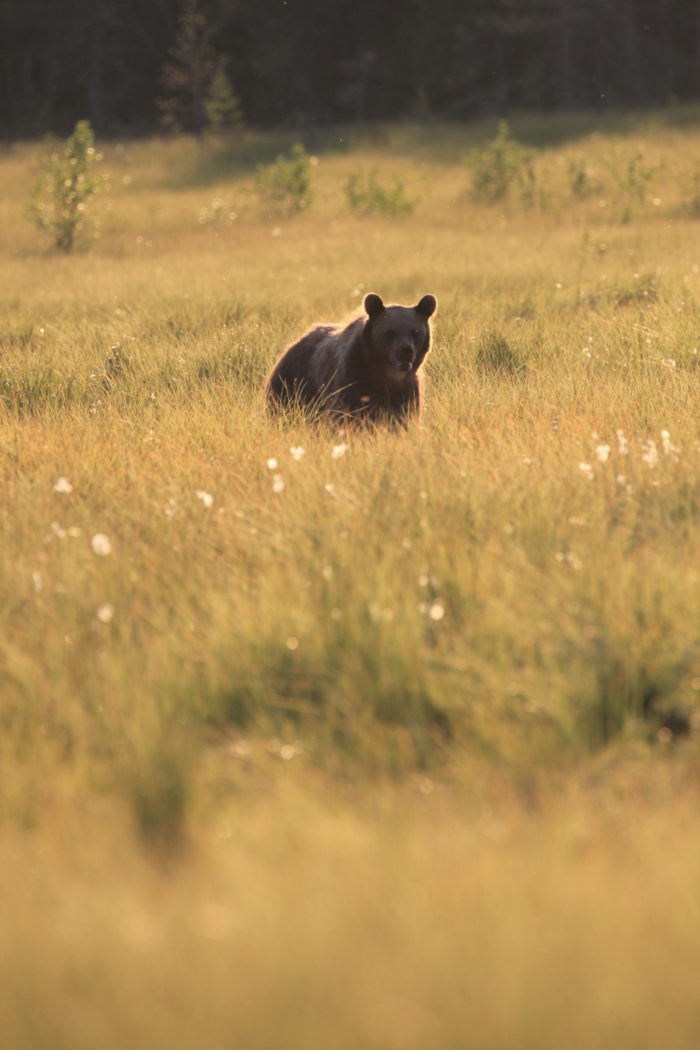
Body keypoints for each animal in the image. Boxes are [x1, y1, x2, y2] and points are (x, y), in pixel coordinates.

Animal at [264, 291, 434, 422]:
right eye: (390, 332)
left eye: (415, 332)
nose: (405, 351)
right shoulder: (352, 380)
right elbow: (346, 415)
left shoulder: (406, 392)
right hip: (292, 385)